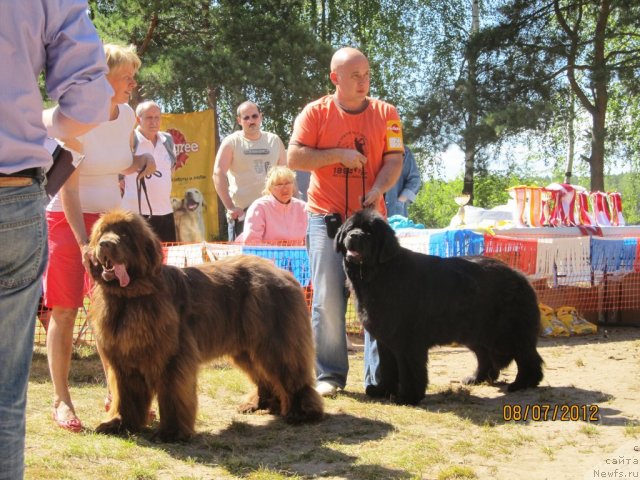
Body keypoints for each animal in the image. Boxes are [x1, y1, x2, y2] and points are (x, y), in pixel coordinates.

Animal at [87, 208, 322, 440]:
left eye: (125, 234)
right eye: (102, 233)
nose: (105, 244)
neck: (129, 298)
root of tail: (283, 272)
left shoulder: (173, 357)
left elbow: (172, 394)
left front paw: (171, 432)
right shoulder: (123, 360)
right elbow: (124, 395)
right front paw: (119, 424)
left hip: (275, 340)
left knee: (290, 373)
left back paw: (302, 412)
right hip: (246, 347)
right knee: (263, 374)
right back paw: (260, 404)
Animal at [336, 210, 544, 404]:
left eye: (369, 232)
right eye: (350, 229)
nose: (354, 235)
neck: (379, 273)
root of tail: (519, 275)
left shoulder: (408, 340)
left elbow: (409, 370)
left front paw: (407, 397)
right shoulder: (385, 339)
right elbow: (387, 368)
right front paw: (382, 390)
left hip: (508, 332)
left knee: (527, 356)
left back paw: (523, 383)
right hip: (476, 332)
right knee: (485, 356)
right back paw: (476, 378)